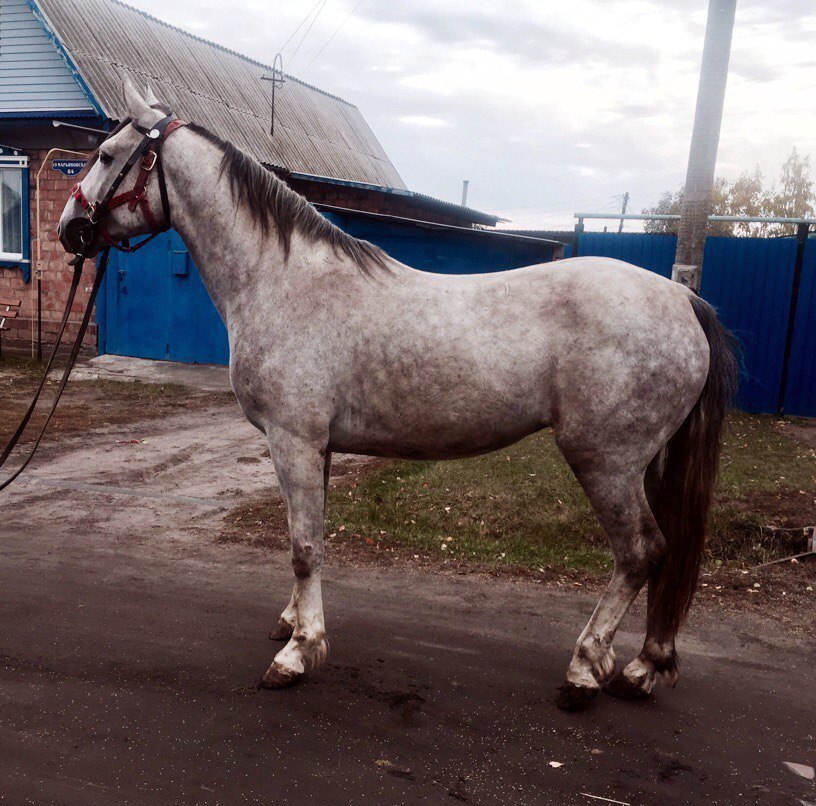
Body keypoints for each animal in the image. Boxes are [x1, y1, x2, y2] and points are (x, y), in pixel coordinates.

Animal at [59, 83, 740, 712]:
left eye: (107, 153)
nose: (69, 230)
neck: (284, 280)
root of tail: (683, 299)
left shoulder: (293, 441)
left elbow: (303, 546)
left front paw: (298, 654)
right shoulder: (315, 446)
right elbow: (309, 539)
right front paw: (292, 623)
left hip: (606, 462)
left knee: (640, 552)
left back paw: (584, 671)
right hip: (640, 463)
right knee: (662, 553)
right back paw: (645, 667)